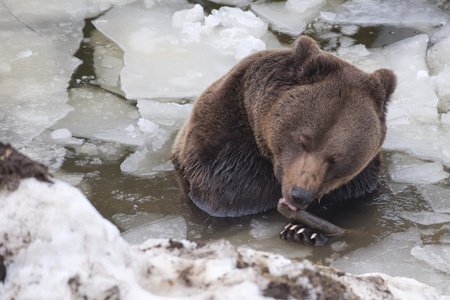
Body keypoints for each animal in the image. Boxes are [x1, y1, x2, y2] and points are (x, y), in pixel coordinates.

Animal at [172, 35, 398, 237]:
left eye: (336, 158)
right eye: (303, 141)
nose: (300, 194)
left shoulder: (360, 181)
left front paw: (303, 230)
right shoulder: (226, 158)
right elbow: (232, 199)